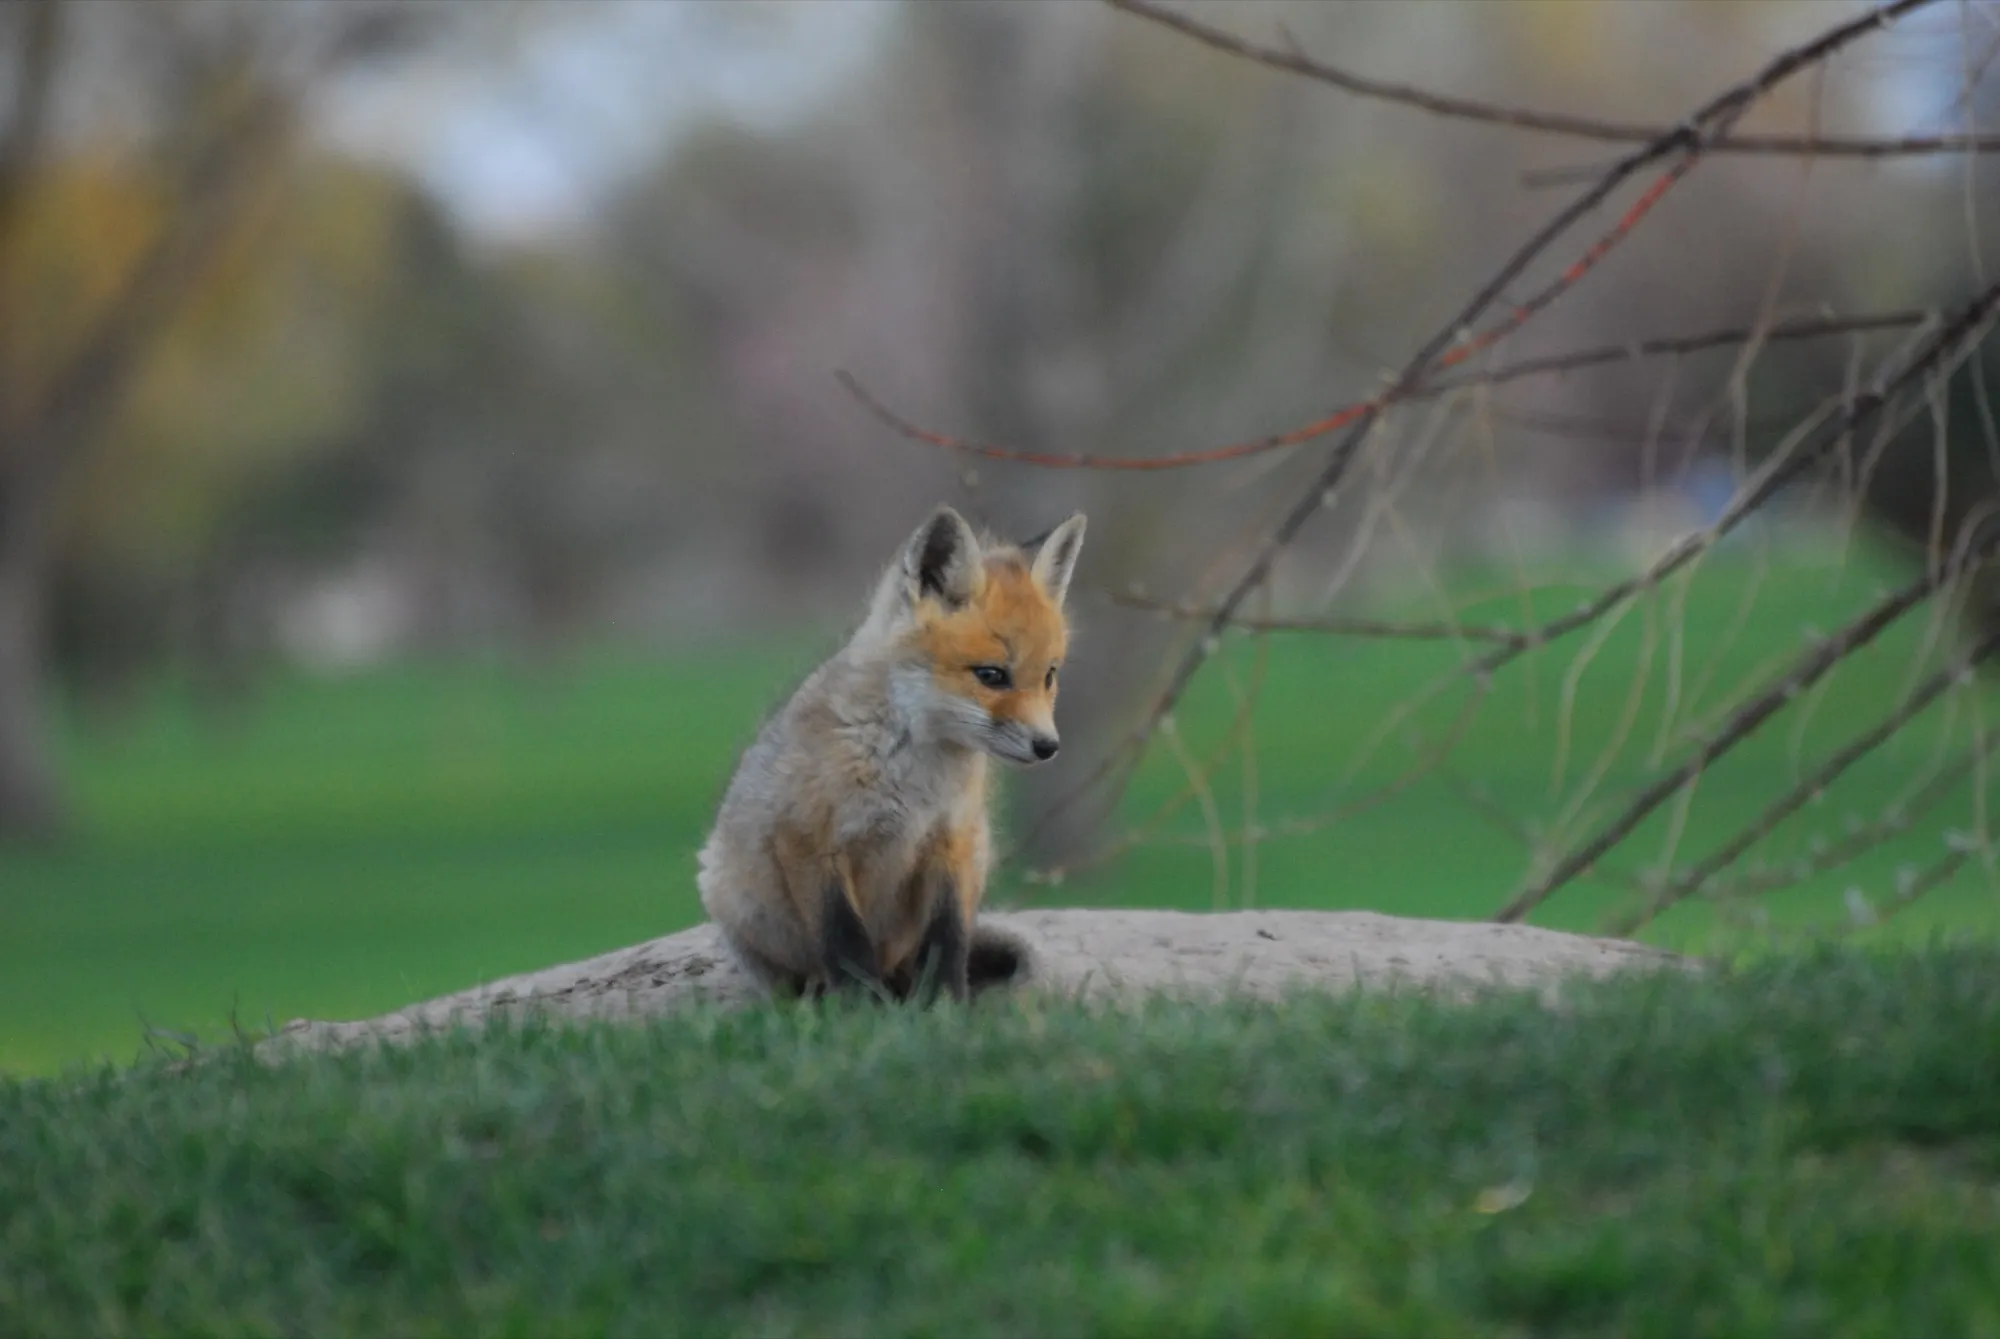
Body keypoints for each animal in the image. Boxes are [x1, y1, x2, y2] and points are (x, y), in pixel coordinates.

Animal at [697, 503, 1087, 1004]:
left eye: (1049, 676)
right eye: (991, 675)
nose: (1047, 746)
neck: (912, 776)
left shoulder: (951, 842)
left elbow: (948, 939)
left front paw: (945, 1008)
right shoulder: (809, 842)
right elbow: (844, 943)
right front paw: (862, 1013)